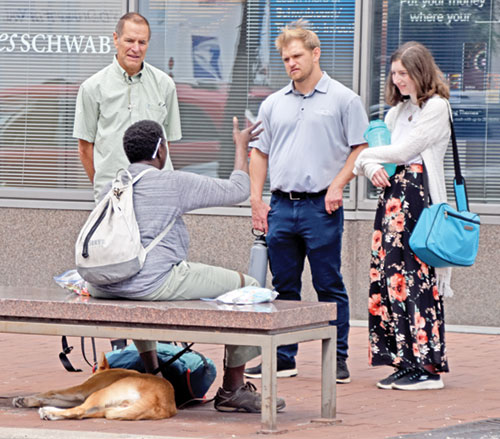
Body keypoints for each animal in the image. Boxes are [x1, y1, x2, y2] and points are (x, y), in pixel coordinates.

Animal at [12, 352, 176, 422]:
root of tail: (159, 402)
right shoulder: (79, 397)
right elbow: (51, 397)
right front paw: (25, 400)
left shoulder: (80, 391)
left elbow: (50, 392)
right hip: (109, 407)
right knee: (85, 412)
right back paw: (52, 413)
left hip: (101, 394)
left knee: (79, 411)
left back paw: (49, 412)